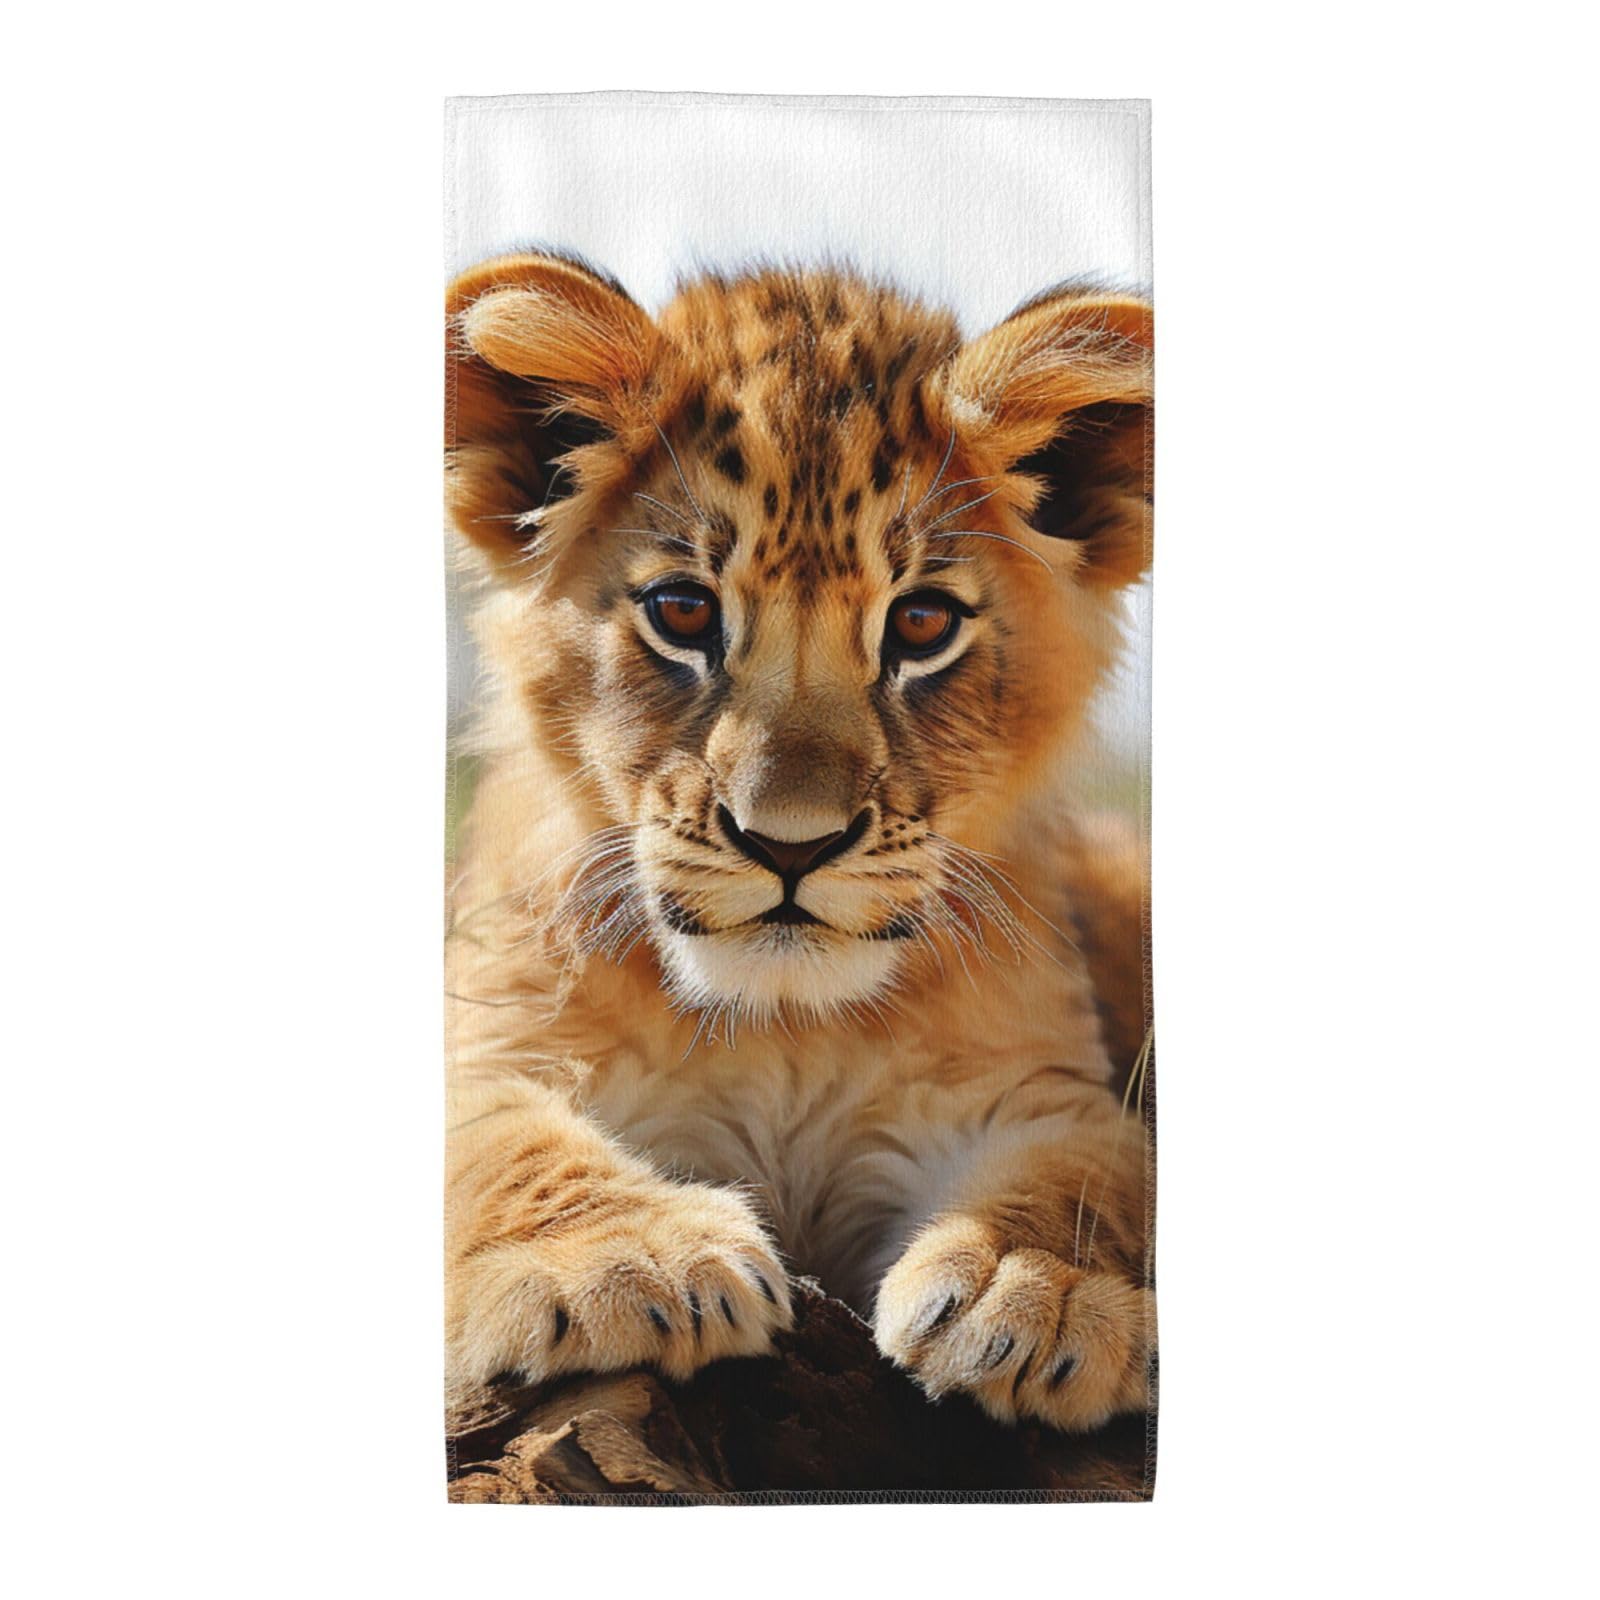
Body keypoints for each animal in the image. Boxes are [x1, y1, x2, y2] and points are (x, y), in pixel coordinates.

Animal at [444, 252, 1154, 1436]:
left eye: (921, 624)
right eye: (683, 612)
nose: (790, 846)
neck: (781, 1030)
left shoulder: (1038, 1081)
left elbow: (1092, 1170)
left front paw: (1037, 1288)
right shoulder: (486, 1035)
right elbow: (498, 1134)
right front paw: (626, 1258)